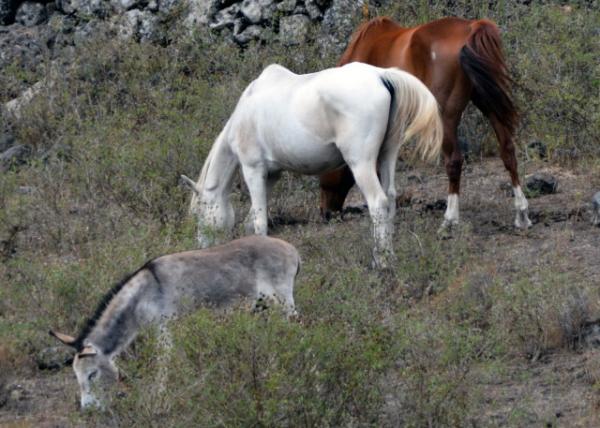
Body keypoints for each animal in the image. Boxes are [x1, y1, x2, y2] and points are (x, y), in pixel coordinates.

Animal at [180, 61, 442, 266]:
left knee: (378, 203)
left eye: (199, 212)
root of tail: (381, 75)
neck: (244, 113)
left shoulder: (253, 169)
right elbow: (251, 220)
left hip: (361, 162)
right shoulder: (271, 175)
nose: (202, 248)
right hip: (387, 155)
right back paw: (389, 256)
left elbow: (259, 221)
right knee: (391, 198)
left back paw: (382, 262)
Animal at [322, 15, 532, 231]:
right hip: (489, 103)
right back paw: (521, 214)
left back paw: (449, 220)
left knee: (455, 161)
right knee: (508, 151)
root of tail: (470, 27)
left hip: (445, 117)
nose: (326, 213)